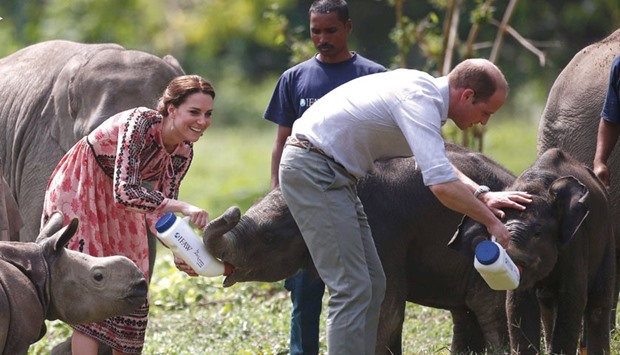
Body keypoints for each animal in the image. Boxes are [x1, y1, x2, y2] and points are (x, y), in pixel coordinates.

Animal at [205, 143, 520, 354]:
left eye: (269, 236)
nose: (232, 210)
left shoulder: (383, 232)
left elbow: (384, 304)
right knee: (465, 315)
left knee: (490, 310)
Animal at [450, 148, 616, 355]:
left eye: (538, 233)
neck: (535, 187)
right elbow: (518, 303)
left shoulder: (575, 242)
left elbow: (572, 300)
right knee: (548, 306)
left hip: (607, 237)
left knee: (597, 303)